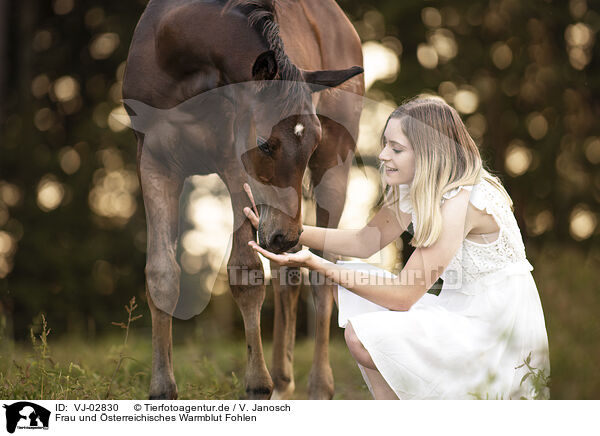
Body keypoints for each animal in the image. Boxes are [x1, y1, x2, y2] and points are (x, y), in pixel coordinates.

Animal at [122, 0, 364, 398]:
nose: (286, 234)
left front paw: (257, 385)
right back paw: (283, 382)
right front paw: (162, 388)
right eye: (265, 143)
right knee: (288, 276)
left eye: (313, 142)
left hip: (333, 174)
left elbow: (245, 275)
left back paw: (317, 387)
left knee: (321, 276)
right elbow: (162, 275)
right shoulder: (154, 164)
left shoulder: (235, 169)